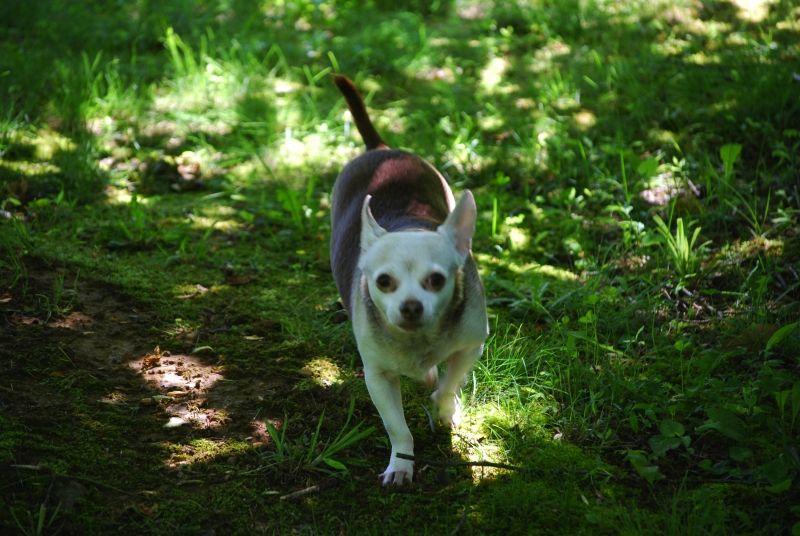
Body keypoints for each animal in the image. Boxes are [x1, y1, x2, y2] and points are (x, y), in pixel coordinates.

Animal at [329, 75, 489, 485]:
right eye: (384, 281)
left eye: (436, 280)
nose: (411, 306)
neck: (421, 341)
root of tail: (381, 149)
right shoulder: (378, 377)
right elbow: (397, 427)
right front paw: (401, 464)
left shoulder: (471, 346)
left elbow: (451, 382)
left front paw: (445, 409)